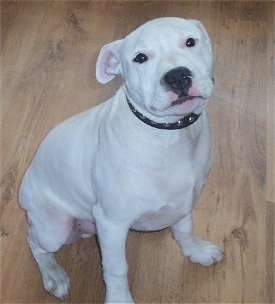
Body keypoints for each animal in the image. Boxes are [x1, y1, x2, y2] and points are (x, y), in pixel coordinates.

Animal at [20, 17, 225, 304]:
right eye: (140, 58)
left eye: (190, 42)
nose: (177, 76)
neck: (169, 134)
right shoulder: (112, 222)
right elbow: (117, 267)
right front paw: (119, 299)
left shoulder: (187, 198)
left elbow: (184, 229)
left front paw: (196, 252)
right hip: (55, 229)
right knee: (34, 240)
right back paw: (53, 275)